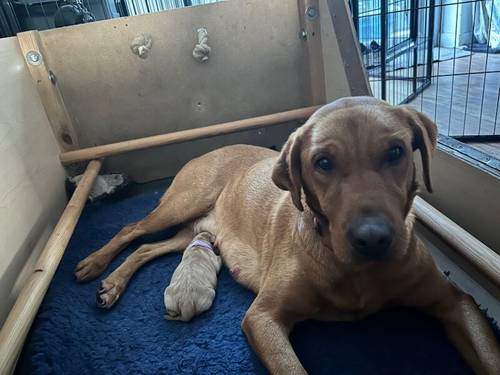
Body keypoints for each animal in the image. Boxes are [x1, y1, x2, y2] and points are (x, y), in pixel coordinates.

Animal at [75, 97, 500, 375]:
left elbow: (489, 354)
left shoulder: (456, 303)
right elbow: (289, 366)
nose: (373, 238)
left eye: (396, 151)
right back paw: (96, 264)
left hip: (194, 231)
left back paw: (112, 283)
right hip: (183, 203)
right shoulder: (262, 317)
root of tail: (207, 150)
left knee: (148, 248)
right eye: (323, 162)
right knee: (132, 229)